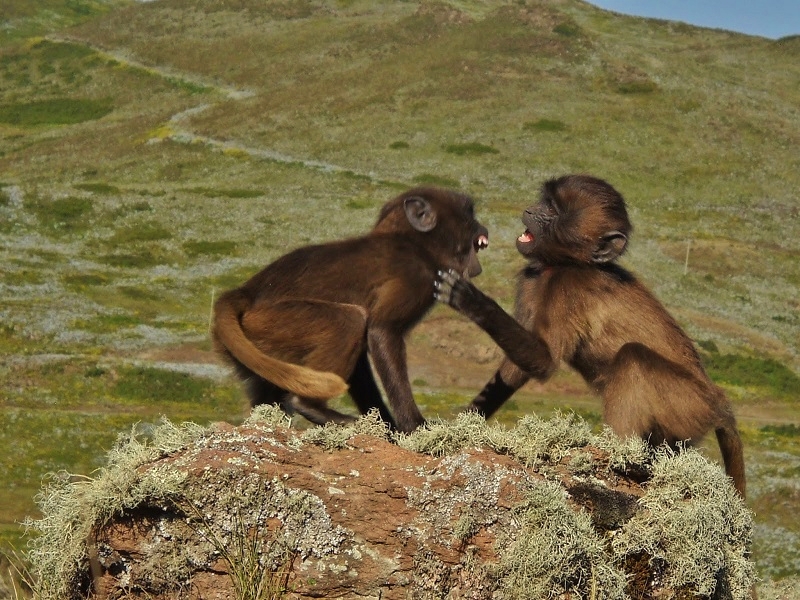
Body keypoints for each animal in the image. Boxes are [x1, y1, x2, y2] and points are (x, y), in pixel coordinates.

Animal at [212, 186, 488, 432]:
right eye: (469, 211)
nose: (483, 227)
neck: (415, 243)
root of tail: (244, 293)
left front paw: (387, 426)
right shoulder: (415, 278)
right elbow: (381, 331)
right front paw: (414, 426)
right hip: (271, 322)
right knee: (350, 319)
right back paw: (312, 407)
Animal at [434, 173, 748, 496]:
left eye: (554, 210)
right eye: (545, 200)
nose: (530, 210)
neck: (568, 263)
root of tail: (719, 403)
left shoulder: (566, 290)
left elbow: (544, 360)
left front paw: (469, 298)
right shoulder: (531, 280)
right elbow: (516, 370)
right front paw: (460, 424)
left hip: (688, 404)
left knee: (633, 358)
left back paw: (619, 457)